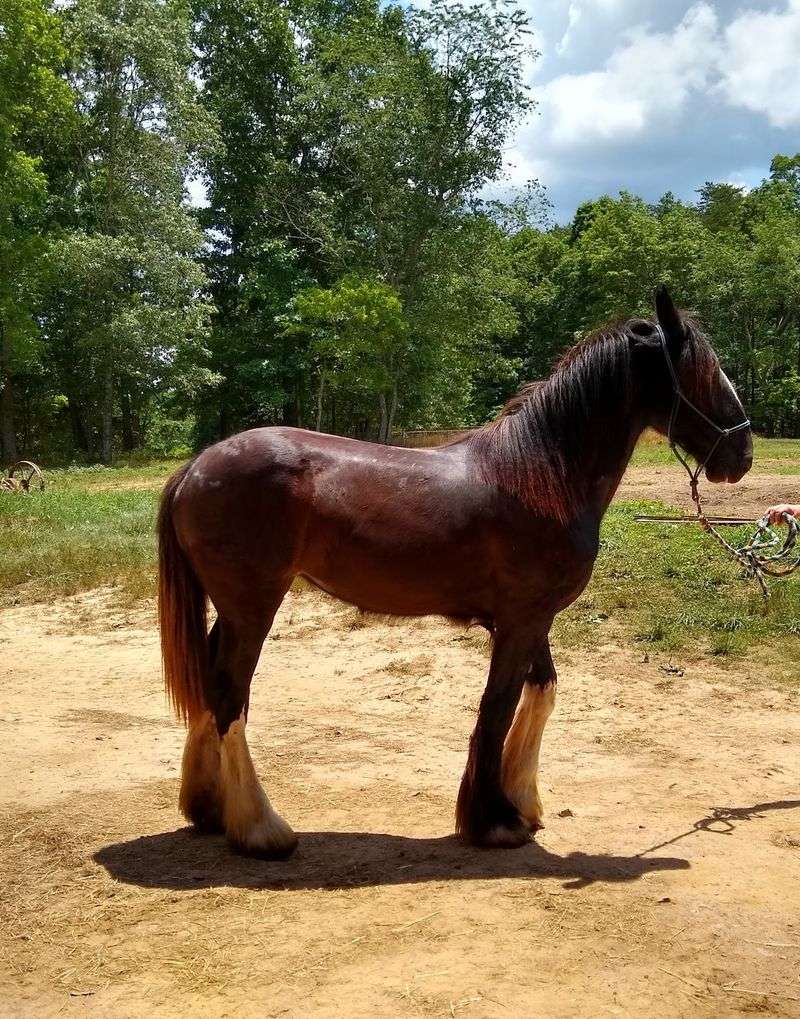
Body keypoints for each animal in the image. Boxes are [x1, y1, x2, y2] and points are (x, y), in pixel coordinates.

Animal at [157, 287, 752, 858]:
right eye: (701, 369)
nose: (742, 452)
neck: (540, 477)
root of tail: (196, 467)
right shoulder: (520, 621)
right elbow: (497, 708)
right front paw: (494, 822)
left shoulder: (532, 619)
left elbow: (542, 692)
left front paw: (521, 800)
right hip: (254, 606)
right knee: (231, 698)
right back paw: (262, 830)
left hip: (233, 610)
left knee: (211, 687)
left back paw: (211, 809)